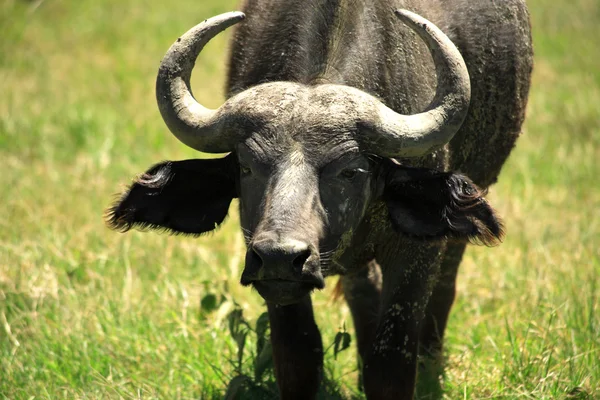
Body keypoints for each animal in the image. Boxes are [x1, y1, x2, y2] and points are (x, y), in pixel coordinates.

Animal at [105, 1, 532, 398]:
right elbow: (299, 356)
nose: (280, 256)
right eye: (246, 167)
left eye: (351, 170)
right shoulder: (275, 280)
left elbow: (390, 363)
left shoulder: (415, 253)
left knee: (444, 287)